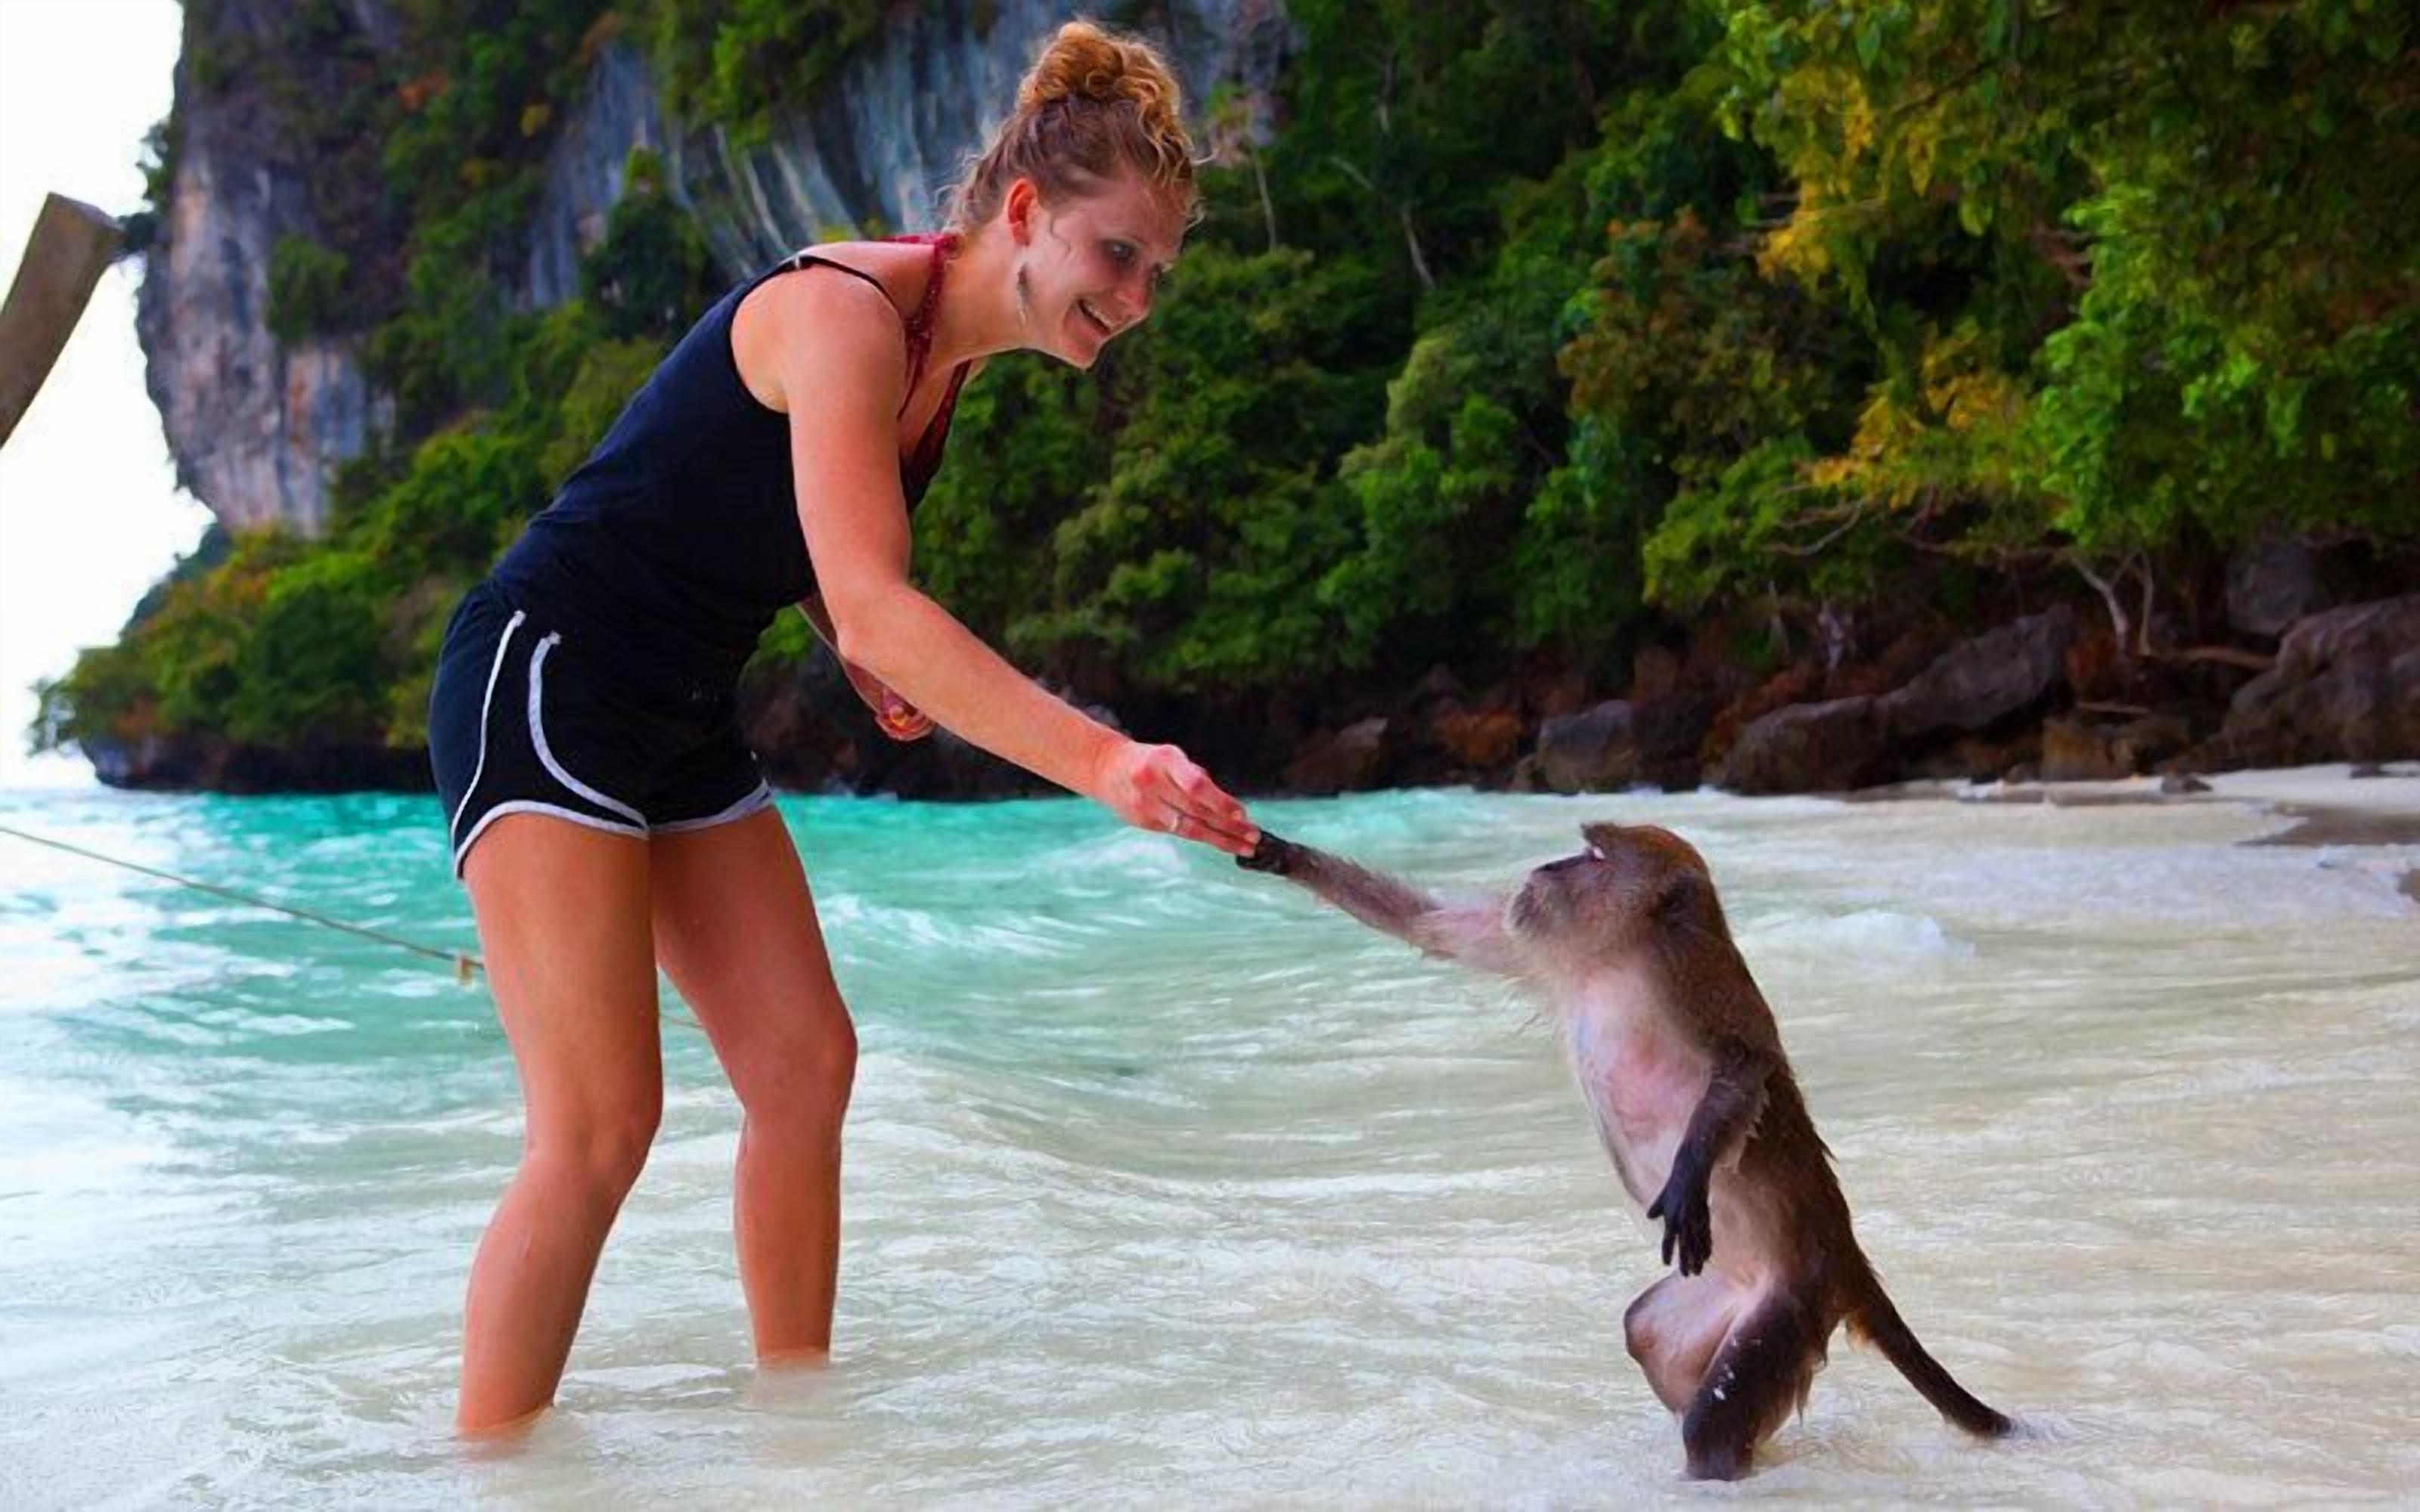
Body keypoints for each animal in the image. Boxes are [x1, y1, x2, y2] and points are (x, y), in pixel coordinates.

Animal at [1238, 823, 2013, 1480]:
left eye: (1592, 855)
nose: (1548, 864)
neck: (1618, 955)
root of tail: (1844, 1253)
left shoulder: (1688, 968)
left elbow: (1745, 1060)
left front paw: (1691, 1171)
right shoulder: (1550, 944)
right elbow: (1428, 925)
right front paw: (1276, 849)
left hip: (1792, 1301)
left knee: (1713, 1421)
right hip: (1726, 1291)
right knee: (1647, 1333)